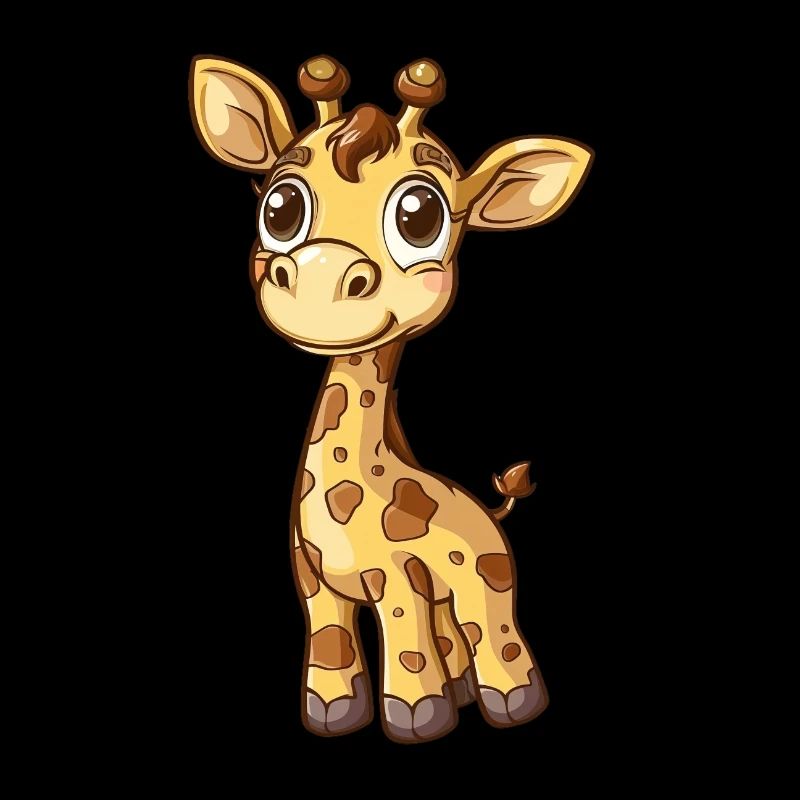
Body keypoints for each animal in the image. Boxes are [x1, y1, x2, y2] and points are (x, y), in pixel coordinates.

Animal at [190, 54, 592, 743]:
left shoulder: (397, 580)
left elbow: (404, 647)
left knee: (494, 632)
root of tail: (486, 509)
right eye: (280, 205)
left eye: (419, 217)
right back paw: (464, 696)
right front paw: (331, 715)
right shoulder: (313, 581)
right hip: (447, 594)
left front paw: (417, 720)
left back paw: (513, 705)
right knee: (453, 638)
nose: (319, 278)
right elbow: (330, 647)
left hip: (488, 577)